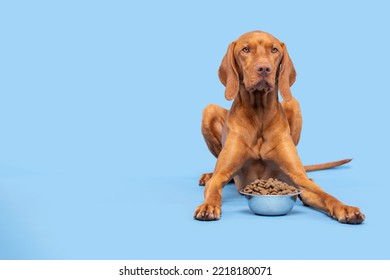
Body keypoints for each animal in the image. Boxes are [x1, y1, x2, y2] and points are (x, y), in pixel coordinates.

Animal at [195, 30, 366, 224]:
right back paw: (207, 175)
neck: (259, 114)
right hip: (208, 110)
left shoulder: (298, 180)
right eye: (245, 50)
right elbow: (214, 190)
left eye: (274, 50)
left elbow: (326, 195)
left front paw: (345, 207)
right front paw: (208, 205)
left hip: (294, 104)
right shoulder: (221, 175)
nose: (264, 68)